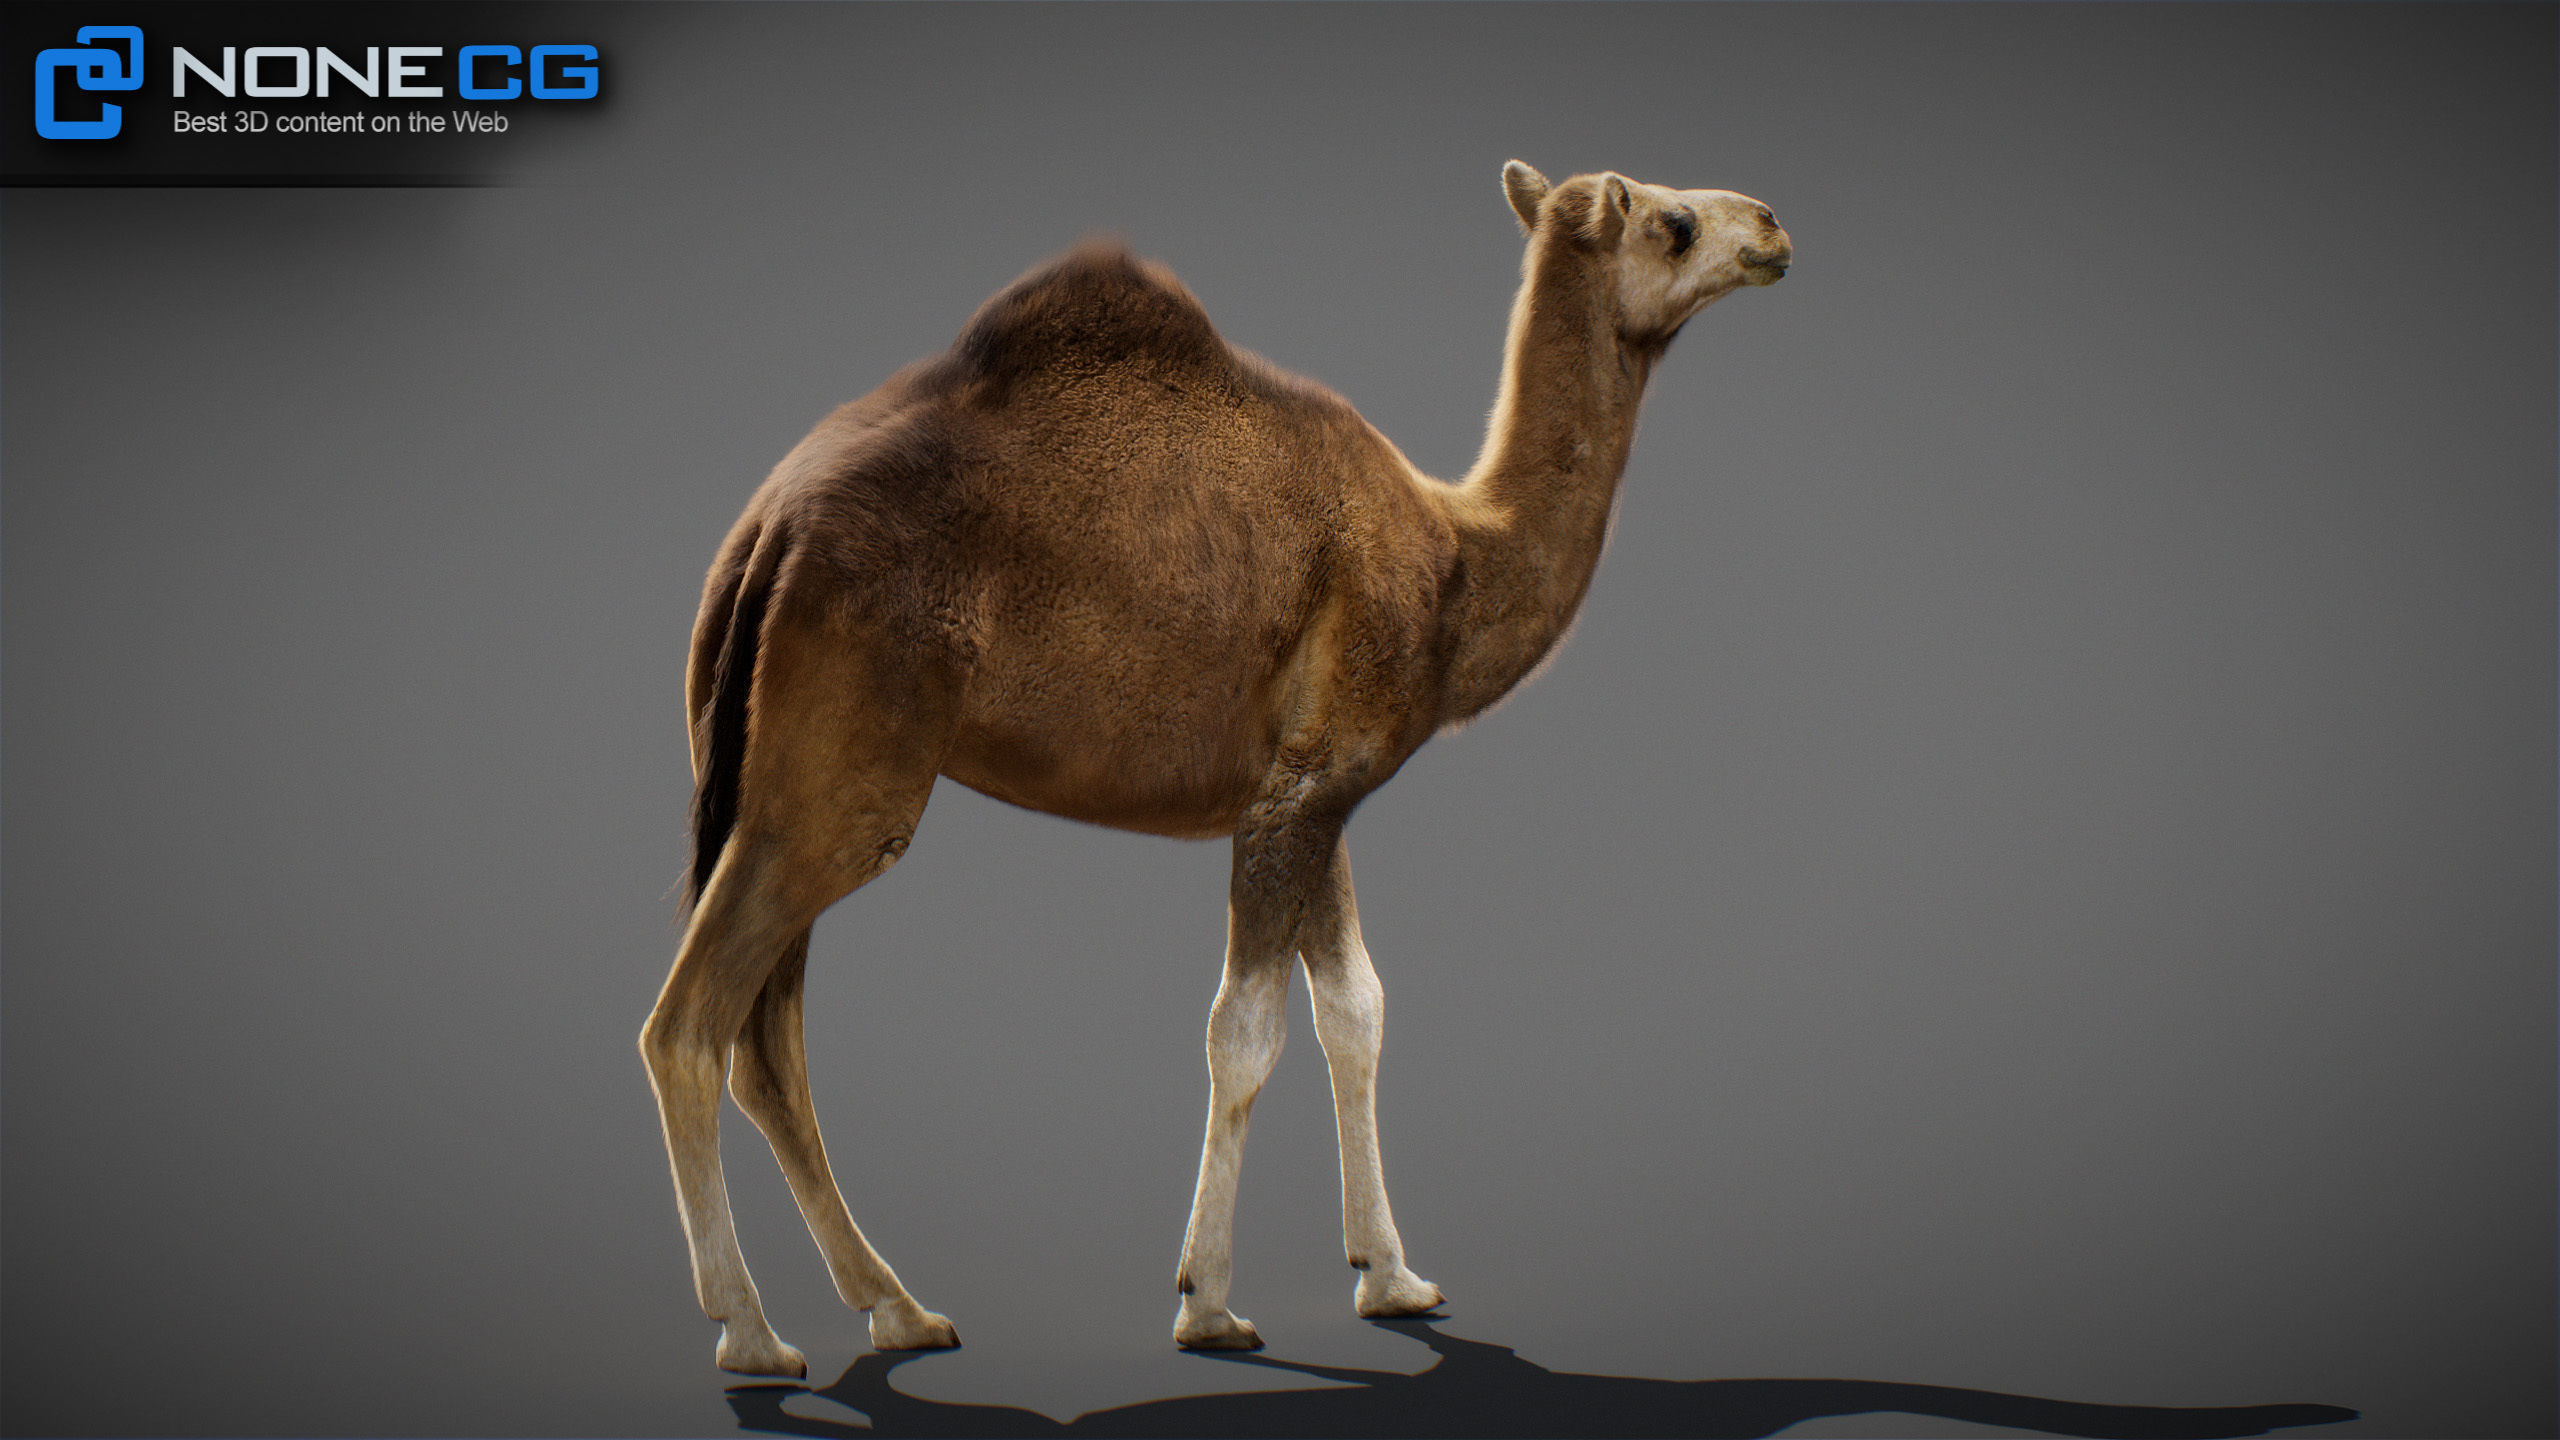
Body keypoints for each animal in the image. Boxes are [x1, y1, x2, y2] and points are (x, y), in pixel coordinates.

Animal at [640, 161, 1792, 1376]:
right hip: (840, 780)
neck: (1452, 557)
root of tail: (768, 529)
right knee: (692, 1028)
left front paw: (1391, 1279)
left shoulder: (1314, 788)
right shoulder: (1299, 794)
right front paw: (1207, 1304)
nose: (1771, 226)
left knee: (768, 1044)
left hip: (770, 774)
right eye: (1672, 223)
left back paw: (898, 1309)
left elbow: (1356, 1011)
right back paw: (753, 1335)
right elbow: (1245, 1033)